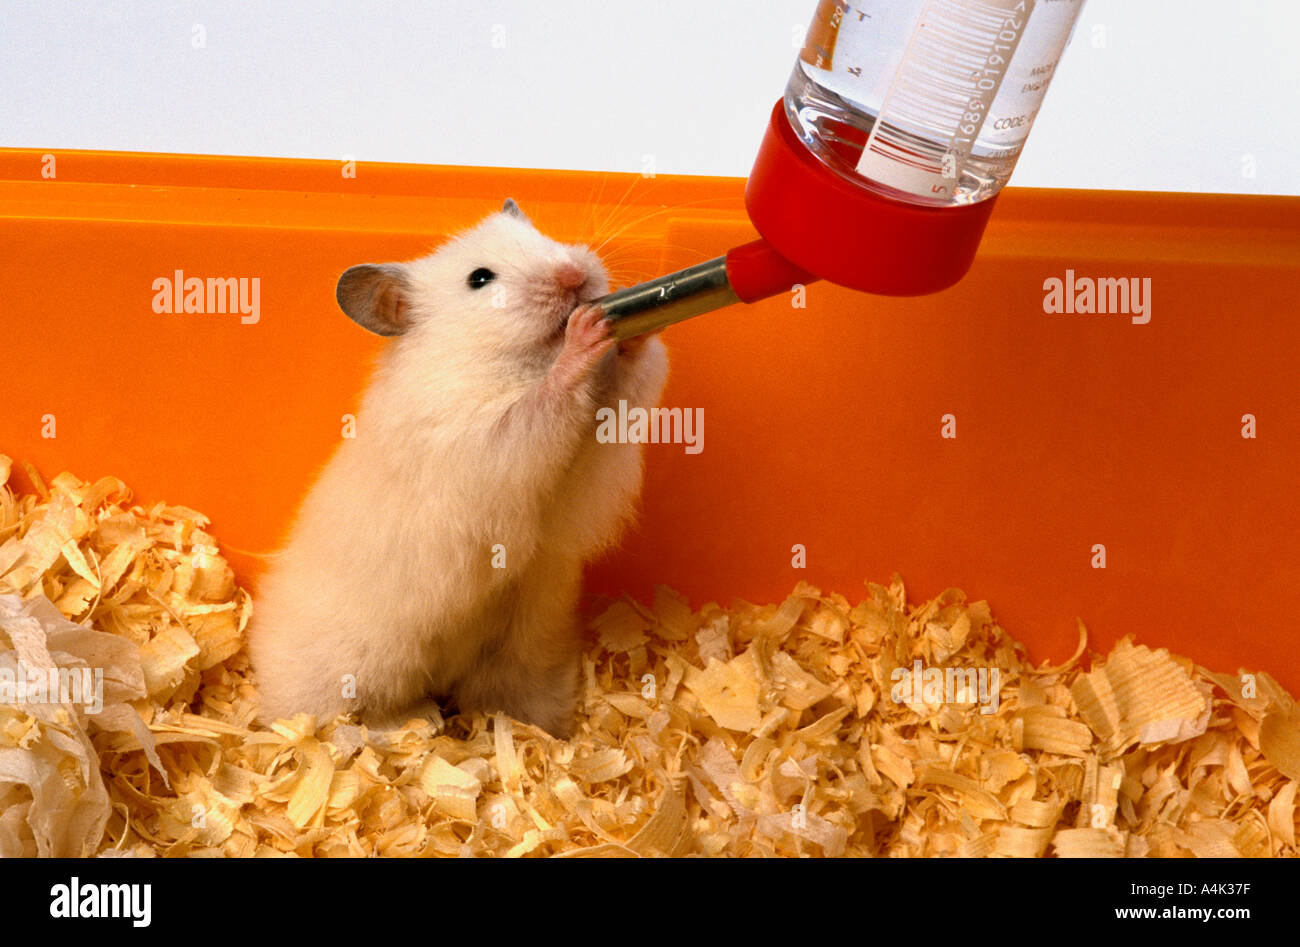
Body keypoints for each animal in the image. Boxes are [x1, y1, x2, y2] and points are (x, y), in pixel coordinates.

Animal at [245, 196, 670, 733]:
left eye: (545, 237)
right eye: (480, 279)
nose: (574, 274)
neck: (503, 358)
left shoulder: (585, 473)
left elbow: (622, 392)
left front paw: (638, 322)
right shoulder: (481, 440)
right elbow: (544, 400)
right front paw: (586, 333)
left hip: (523, 655)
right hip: (348, 674)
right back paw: (403, 726)